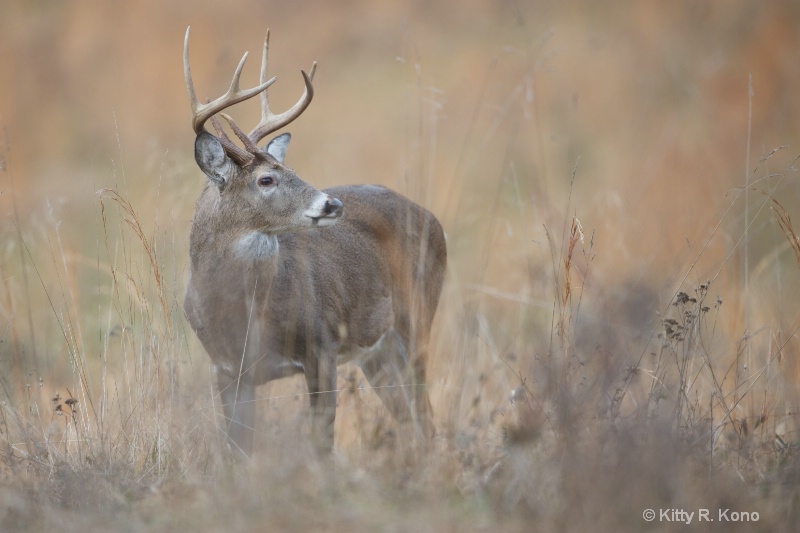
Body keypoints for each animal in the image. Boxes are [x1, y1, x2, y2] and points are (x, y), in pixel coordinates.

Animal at [181, 26, 446, 458]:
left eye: (289, 168)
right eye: (266, 179)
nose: (332, 203)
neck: (245, 312)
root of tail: (433, 220)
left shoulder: (322, 348)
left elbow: (322, 445)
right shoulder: (226, 369)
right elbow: (237, 450)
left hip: (417, 319)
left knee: (425, 415)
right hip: (378, 351)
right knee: (410, 416)